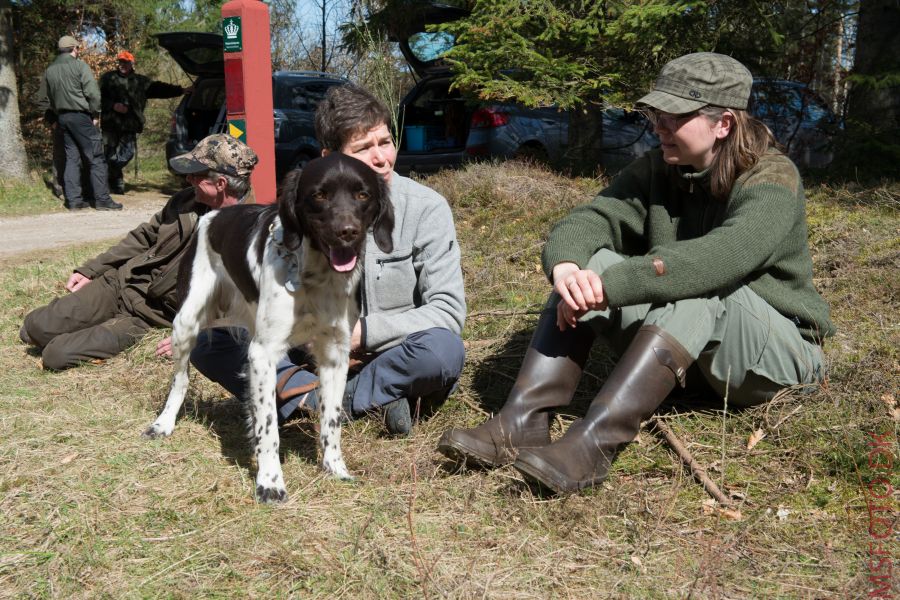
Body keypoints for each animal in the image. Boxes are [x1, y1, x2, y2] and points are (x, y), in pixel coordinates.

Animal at [143, 154, 394, 502]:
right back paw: (164, 423)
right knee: (181, 379)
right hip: (186, 323)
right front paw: (270, 482)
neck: (316, 276)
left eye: (362, 194)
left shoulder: (335, 353)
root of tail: (213, 215)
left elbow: (331, 420)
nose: (347, 232)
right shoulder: (263, 353)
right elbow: (269, 428)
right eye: (319, 195)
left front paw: (335, 468)